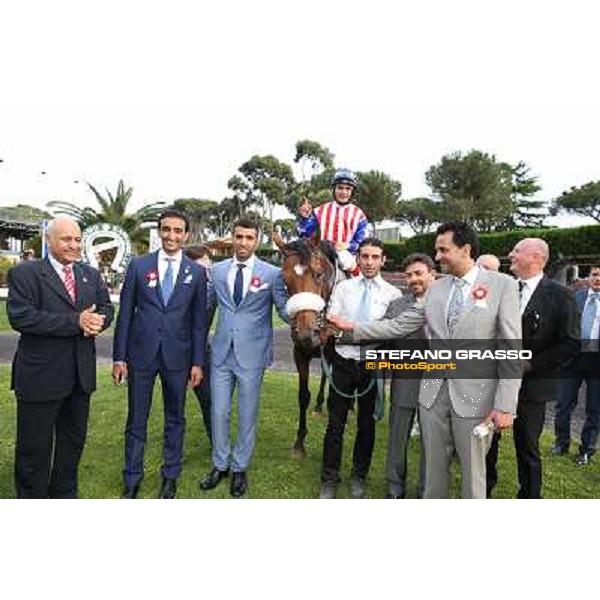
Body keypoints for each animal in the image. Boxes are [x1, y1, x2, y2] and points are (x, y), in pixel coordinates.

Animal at [280, 237, 340, 458]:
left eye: (318, 274)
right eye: (285, 280)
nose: (307, 334)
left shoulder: (333, 354)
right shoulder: (300, 353)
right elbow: (303, 396)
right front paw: (299, 442)